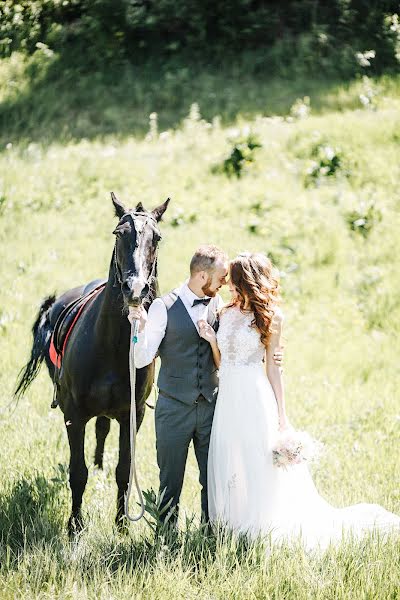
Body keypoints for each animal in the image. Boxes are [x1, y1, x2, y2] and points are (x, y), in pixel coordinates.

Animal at [14, 193, 169, 536]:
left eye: (157, 238)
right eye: (119, 234)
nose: (135, 290)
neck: (111, 345)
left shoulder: (132, 416)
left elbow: (124, 470)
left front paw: (122, 525)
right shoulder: (74, 414)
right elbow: (77, 472)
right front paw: (75, 526)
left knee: (102, 429)